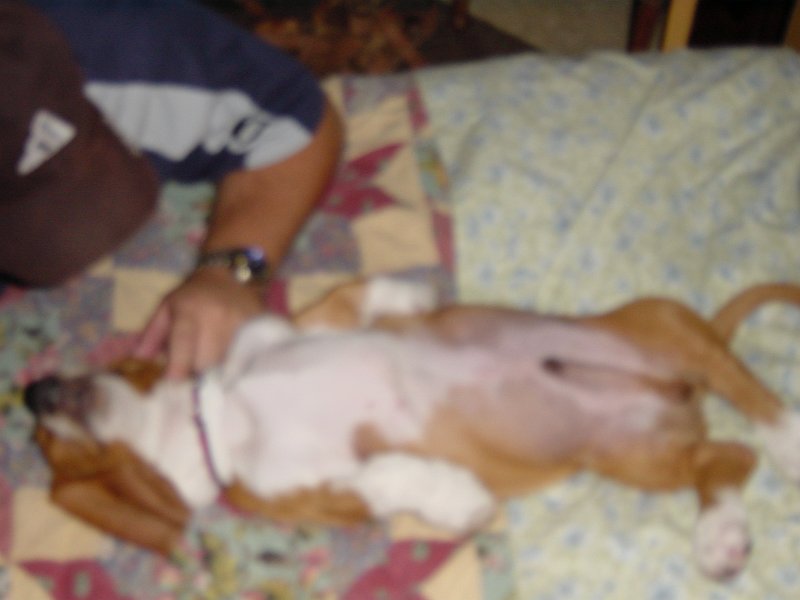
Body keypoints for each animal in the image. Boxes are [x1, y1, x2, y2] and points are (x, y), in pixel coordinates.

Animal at [24, 277, 800, 580]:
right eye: (47, 448)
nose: (32, 390)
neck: (213, 420)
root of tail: (678, 387)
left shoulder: (278, 333)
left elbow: (336, 300)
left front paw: (405, 296)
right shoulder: (327, 493)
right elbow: (390, 476)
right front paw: (459, 498)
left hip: (662, 329)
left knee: (746, 390)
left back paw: (788, 438)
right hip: (639, 453)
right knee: (725, 458)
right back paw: (721, 533)